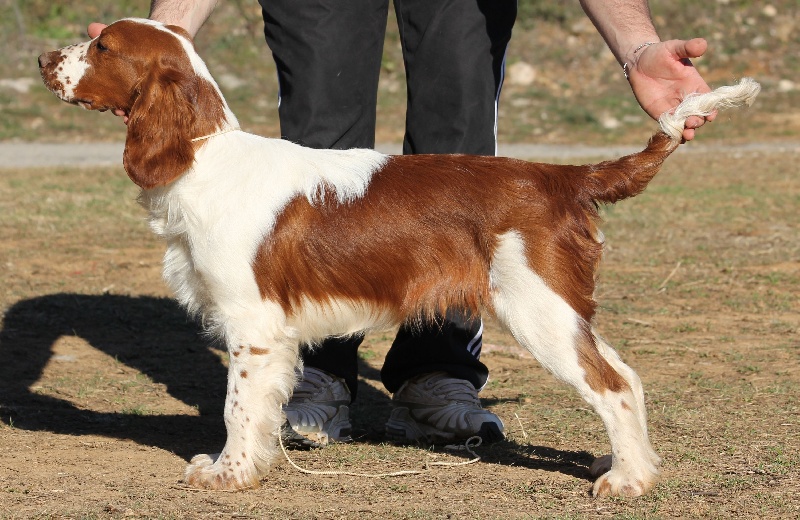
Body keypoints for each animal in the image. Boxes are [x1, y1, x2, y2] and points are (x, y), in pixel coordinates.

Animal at [39, 17, 764, 496]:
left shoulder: (251, 325)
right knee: (628, 378)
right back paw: (632, 469)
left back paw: (625, 484)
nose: (45, 58)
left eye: (102, 46)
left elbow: (237, 408)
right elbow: (264, 408)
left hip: (539, 311)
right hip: (561, 309)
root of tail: (563, 177)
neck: (202, 156)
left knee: (610, 385)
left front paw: (227, 474)